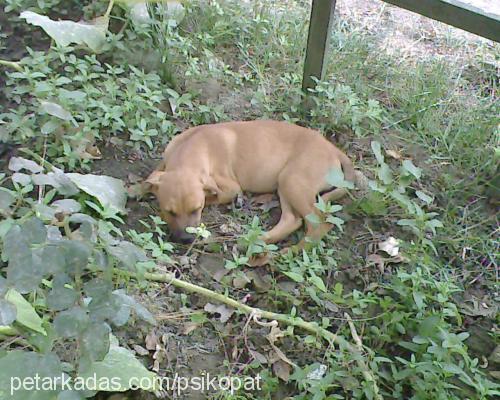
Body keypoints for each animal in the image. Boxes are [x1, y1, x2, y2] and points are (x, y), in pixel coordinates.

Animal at [146, 119, 356, 245]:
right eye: (169, 211)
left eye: (196, 209)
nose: (186, 240)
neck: (194, 147)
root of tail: (334, 149)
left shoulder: (230, 188)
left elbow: (214, 196)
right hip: (286, 183)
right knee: (292, 219)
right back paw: (260, 241)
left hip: (293, 181)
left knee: (319, 225)